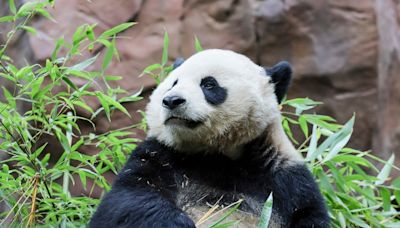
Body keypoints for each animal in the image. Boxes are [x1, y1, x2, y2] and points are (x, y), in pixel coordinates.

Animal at [89, 49, 330, 227]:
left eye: (208, 84)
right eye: (173, 83)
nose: (172, 100)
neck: (213, 153)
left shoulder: (284, 177)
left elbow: (308, 214)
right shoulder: (158, 155)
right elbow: (128, 202)